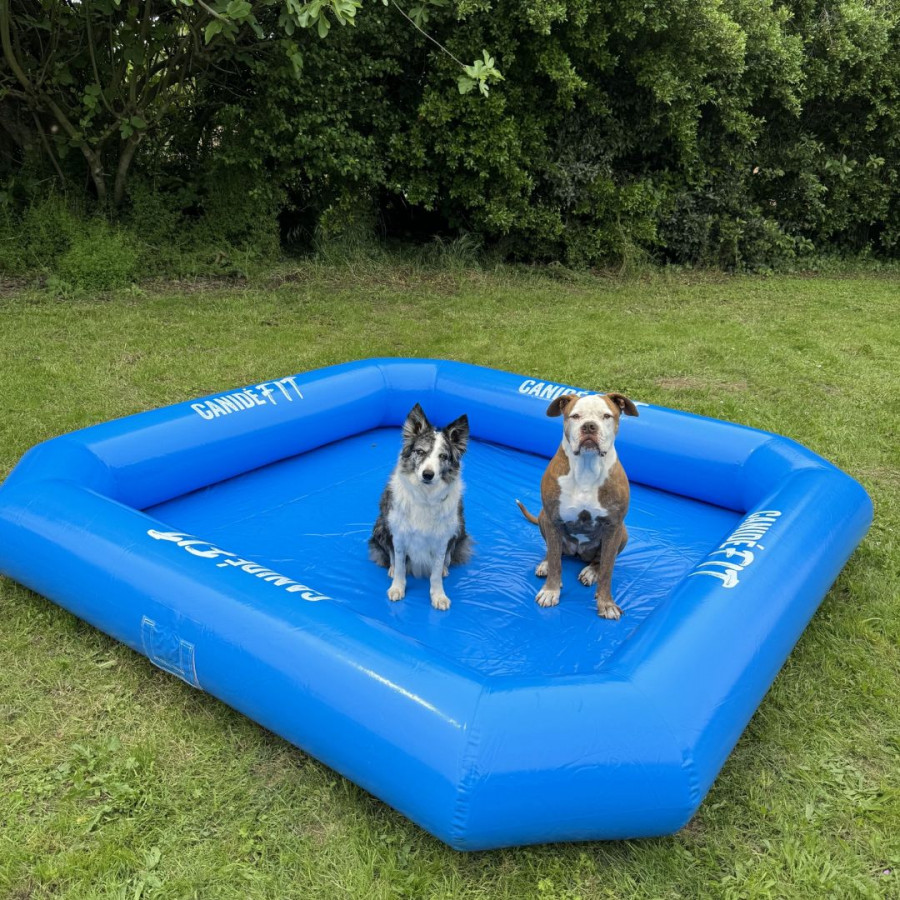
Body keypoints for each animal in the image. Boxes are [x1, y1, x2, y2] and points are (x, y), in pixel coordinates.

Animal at [516, 392, 636, 620]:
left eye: (606, 415)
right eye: (575, 416)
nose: (589, 426)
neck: (587, 467)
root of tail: (579, 553)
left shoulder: (614, 526)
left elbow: (608, 570)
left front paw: (606, 603)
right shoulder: (553, 519)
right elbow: (556, 561)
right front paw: (550, 590)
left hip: (623, 533)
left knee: (599, 559)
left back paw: (591, 570)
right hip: (543, 517)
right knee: (554, 551)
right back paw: (545, 563)